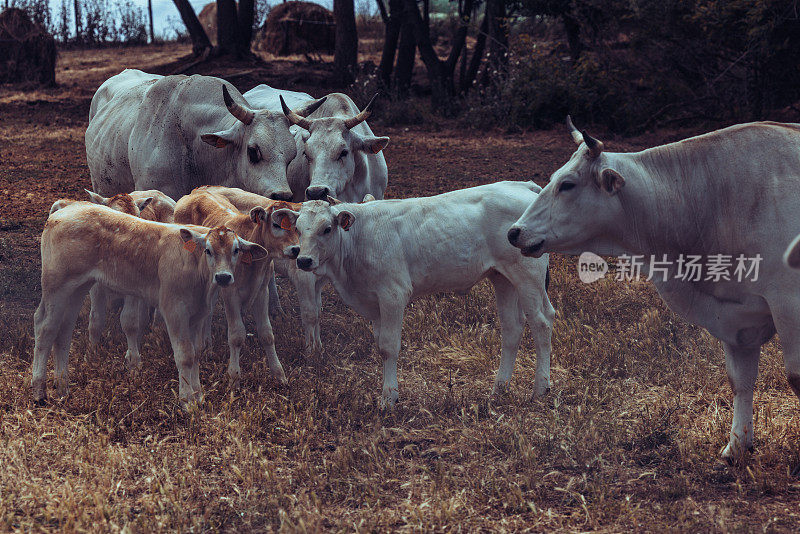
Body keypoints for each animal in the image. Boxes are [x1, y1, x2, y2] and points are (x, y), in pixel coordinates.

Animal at [32, 204, 268, 406]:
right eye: (208, 250)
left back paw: (62, 387)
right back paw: (39, 391)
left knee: (63, 332)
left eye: (236, 250)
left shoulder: (199, 313)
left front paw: (198, 396)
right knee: (45, 328)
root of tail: (62, 212)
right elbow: (185, 355)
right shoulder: (174, 309)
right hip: (56, 285)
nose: (223, 277)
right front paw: (186, 401)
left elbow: (196, 354)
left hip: (77, 288)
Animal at [173, 189, 302, 390]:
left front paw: (279, 374)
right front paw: (234, 377)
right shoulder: (230, 293)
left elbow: (267, 334)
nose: (295, 249)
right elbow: (236, 335)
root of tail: (198, 190)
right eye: (276, 224)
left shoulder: (262, 292)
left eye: (296, 227)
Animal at [282, 184, 556, 410]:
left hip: (528, 277)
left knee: (542, 323)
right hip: (503, 279)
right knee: (512, 329)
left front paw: (388, 398)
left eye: (327, 229)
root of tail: (523, 187)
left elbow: (388, 347)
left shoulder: (393, 294)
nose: (303, 260)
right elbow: (379, 343)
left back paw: (540, 389)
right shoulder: (374, 304)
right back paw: (499, 389)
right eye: (297, 229)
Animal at [506, 119, 800, 462]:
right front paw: (737, 445)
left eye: (567, 184)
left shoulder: (788, 303)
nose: (514, 232)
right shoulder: (735, 314)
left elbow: (794, 377)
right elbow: (740, 380)